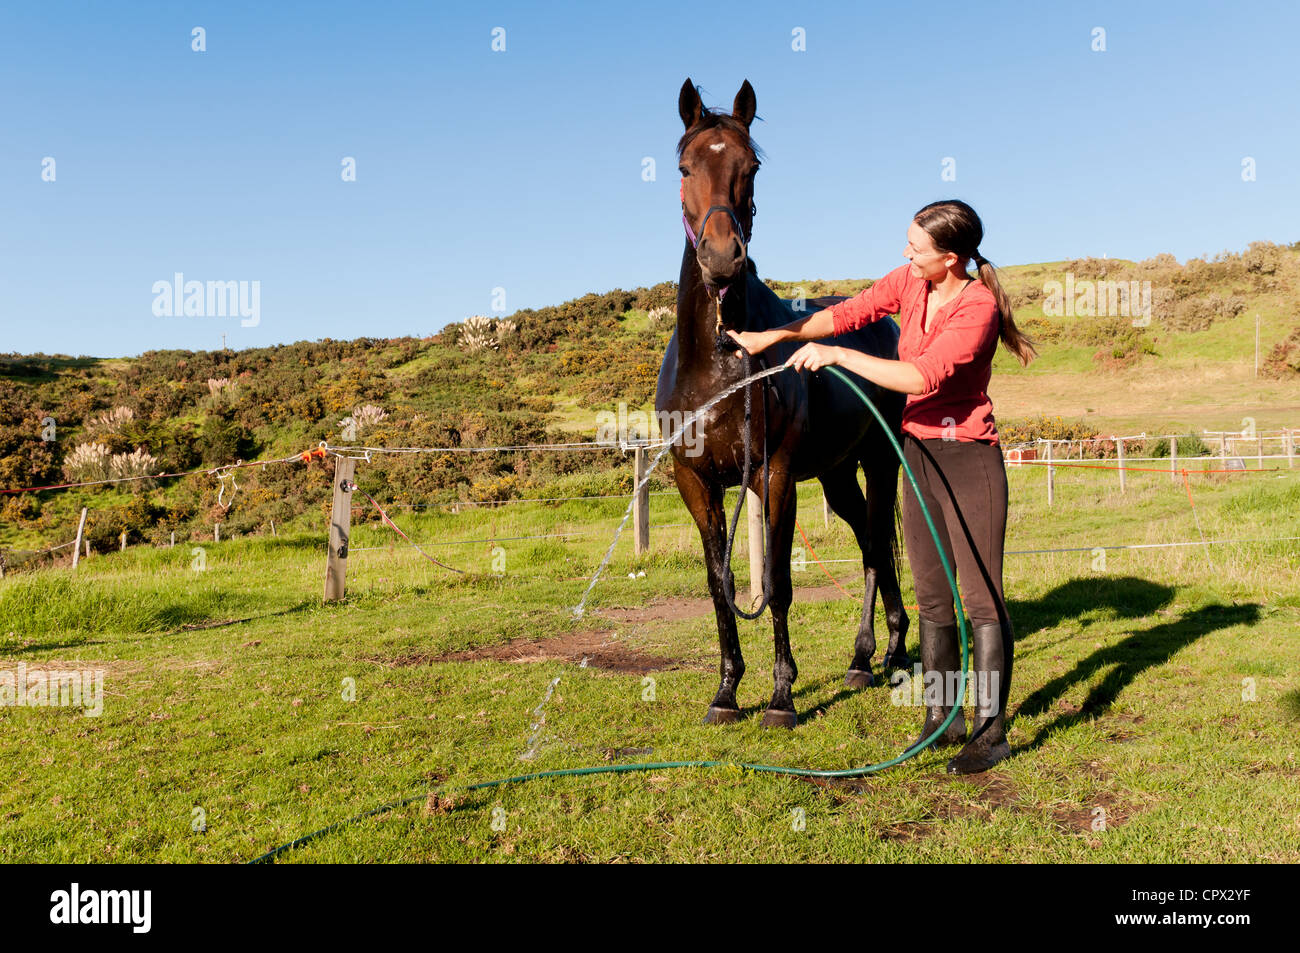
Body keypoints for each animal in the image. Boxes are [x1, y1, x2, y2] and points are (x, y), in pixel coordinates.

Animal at [655, 78, 909, 722]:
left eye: (752, 167)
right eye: (684, 167)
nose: (723, 260)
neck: (722, 359)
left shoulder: (774, 476)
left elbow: (777, 583)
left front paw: (781, 694)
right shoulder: (696, 482)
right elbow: (720, 585)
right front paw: (726, 690)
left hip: (880, 461)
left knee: (878, 545)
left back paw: (890, 653)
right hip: (838, 474)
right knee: (868, 541)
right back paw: (863, 659)